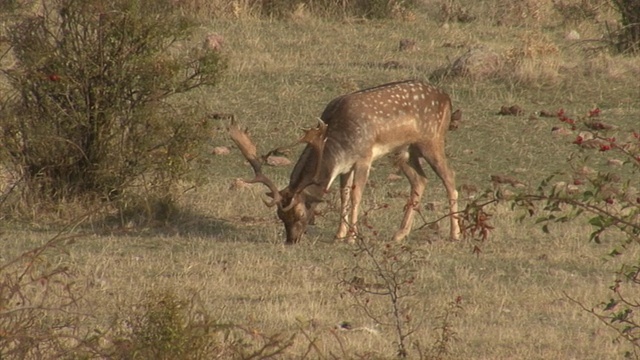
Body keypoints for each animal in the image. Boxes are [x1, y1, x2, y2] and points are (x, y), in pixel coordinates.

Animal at [230, 80, 460, 245]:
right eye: (280, 215)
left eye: (300, 213)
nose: (291, 240)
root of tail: (448, 99)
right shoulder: (345, 167)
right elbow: (344, 196)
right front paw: (338, 235)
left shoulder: (364, 157)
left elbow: (357, 196)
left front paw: (351, 237)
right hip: (405, 151)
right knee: (420, 179)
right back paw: (400, 234)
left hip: (431, 140)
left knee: (450, 178)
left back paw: (455, 234)